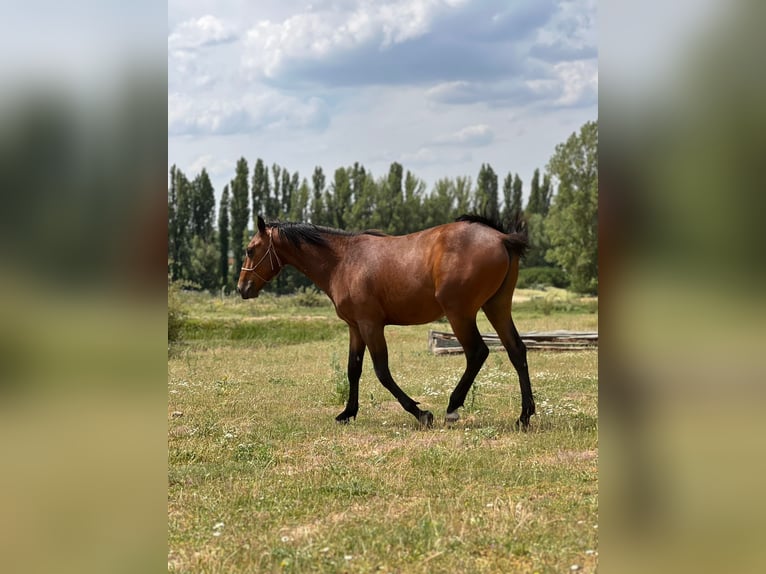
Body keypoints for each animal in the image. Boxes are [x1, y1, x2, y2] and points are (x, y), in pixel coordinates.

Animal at [237, 214, 535, 429]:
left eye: (251, 250)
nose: (242, 288)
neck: (343, 260)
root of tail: (502, 238)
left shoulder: (371, 325)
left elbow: (382, 371)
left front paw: (421, 413)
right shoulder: (355, 328)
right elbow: (353, 369)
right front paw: (348, 412)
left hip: (459, 314)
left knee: (477, 353)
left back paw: (452, 408)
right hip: (497, 306)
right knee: (516, 351)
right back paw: (524, 416)